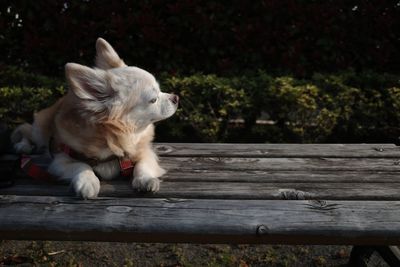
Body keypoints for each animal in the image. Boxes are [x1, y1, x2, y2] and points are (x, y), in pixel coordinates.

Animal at [10, 38, 179, 200]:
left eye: (161, 91)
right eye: (153, 100)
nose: (176, 98)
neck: (115, 139)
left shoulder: (145, 152)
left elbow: (142, 165)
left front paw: (145, 180)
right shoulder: (60, 160)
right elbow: (81, 165)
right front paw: (87, 182)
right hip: (41, 128)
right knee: (26, 130)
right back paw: (23, 145)